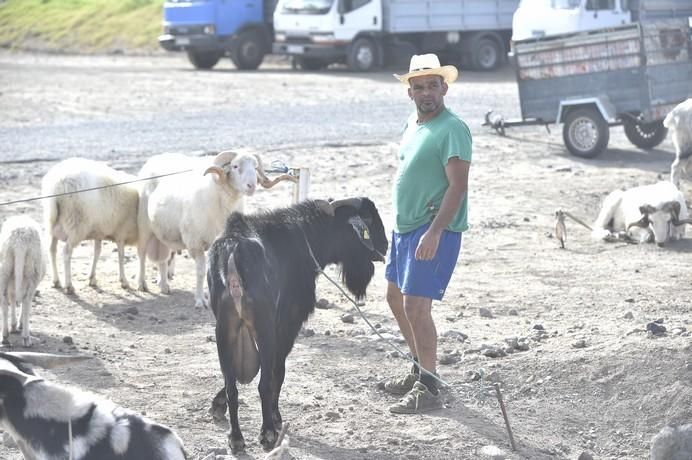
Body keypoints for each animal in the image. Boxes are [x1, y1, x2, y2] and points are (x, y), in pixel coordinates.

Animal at [0, 216, 45, 344]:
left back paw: (5, 336)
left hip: (5, 268)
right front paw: (17, 324)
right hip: (32, 271)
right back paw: (26, 337)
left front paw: (13, 325)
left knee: (4, 302)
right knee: (26, 303)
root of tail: (19, 240)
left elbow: (12, 298)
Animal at [41, 158, 139, 294]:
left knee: (52, 250)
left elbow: (97, 253)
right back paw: (69, 285)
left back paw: (56, 281)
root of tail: (57, 184)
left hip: (53, 225)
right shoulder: (121, 232)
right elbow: (121, 255)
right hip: (76, 226)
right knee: (66, 252)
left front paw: (92, 278)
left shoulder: (99, 232)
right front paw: (123, 281)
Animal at [137, 152, 260, 310]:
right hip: (144, 225)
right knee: (141, 254)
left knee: (163, 259)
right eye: (235, 166)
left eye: (255, 167)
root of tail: (154, 158)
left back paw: (164, 285)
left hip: (162, 230)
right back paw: (142, 284)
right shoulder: (195, 244)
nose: (252, 186)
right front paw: (200, 300)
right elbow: (201, 272)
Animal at [205, 197, 390, 450]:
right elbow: (277, 371)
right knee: (264, 383)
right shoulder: (287, 324)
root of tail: (233, 254)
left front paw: (217, 404)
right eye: (368, 219)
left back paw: (236, 437)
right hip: (263, 329)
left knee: (233, 383)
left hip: (225, 330)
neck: (304, 237)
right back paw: (268, 433)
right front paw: (275, 416)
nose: (386, 245)